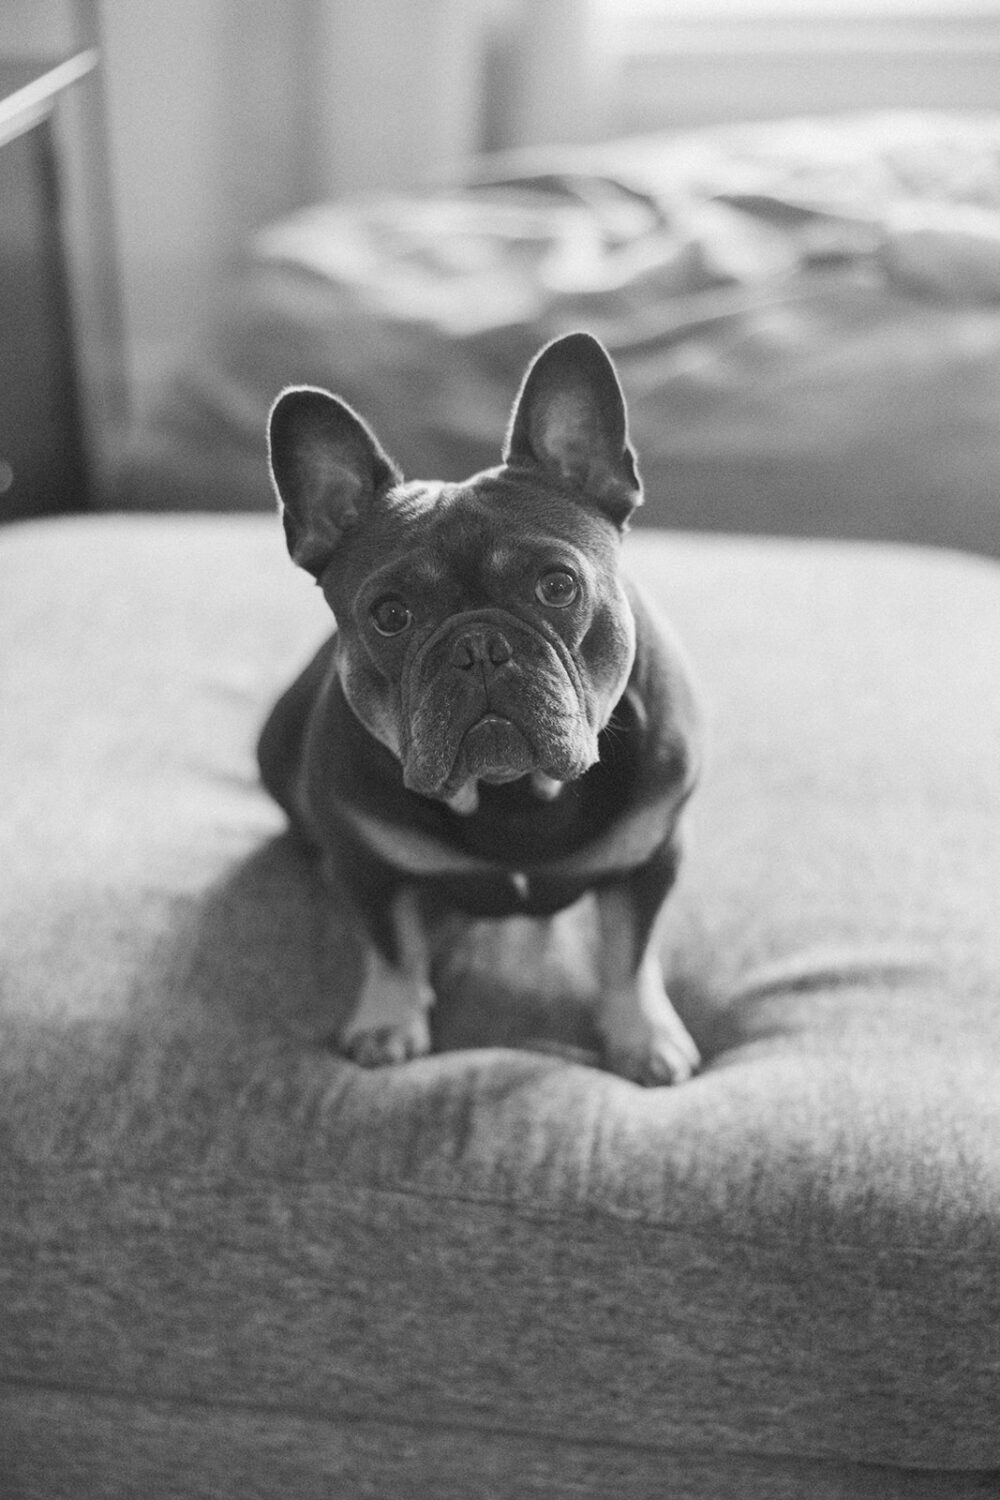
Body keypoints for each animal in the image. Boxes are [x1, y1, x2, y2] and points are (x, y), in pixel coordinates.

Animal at [263, 334, 704, 1086]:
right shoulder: (368, 868)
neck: (513, 796)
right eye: (390, 615)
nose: (478, 646)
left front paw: (643, 1036)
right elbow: (391, 946)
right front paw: (389, 1022)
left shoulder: (653, 857)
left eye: (558, 586)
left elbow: (630, 953)